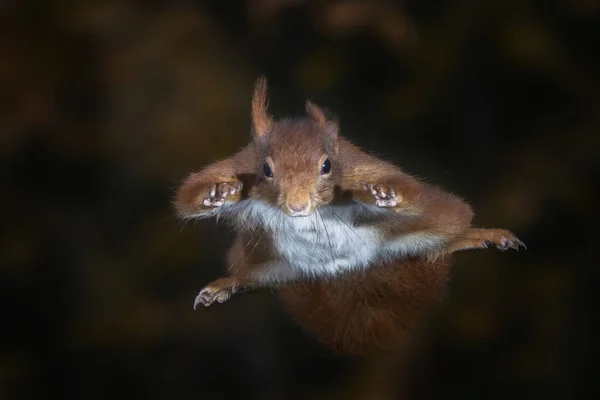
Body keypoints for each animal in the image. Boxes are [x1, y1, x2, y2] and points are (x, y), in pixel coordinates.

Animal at [175, 76, 524, 354]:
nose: (298, 207)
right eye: (266, 169)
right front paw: (219, 192)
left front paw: (381, 193)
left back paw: (483, 235)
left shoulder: (360, 168)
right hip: (266, 260)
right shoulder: (240, 163)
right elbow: (187, 196)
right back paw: (227, 285)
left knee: (446, 235)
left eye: (327, 165)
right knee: (254, 279)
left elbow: (405, 190)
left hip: (430, 221)